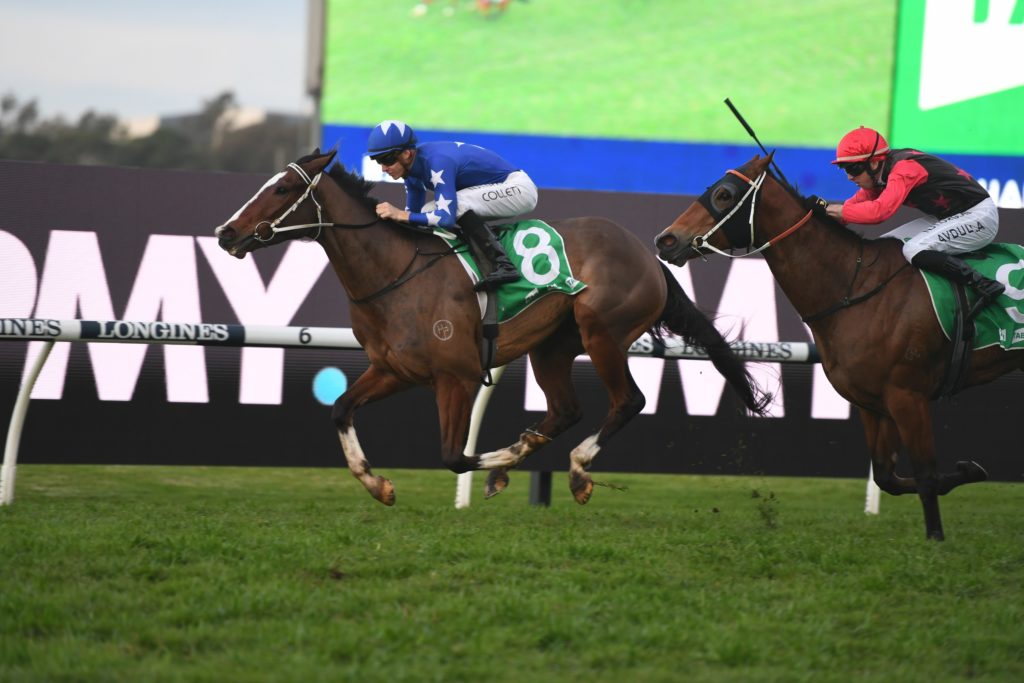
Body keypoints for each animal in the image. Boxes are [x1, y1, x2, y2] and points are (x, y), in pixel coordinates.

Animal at [213, 148, 771, 505]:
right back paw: (523, 461)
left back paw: (574, 470)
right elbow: (340, 409)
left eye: (283, 187)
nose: (226, 232)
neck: (395, 273)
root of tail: (649, 253)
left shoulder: (456, 376)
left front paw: (497, 462)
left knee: (627, 401)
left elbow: (455, 457)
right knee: (566, 410)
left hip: (602, 332)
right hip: (552, 347)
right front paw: (378, 485)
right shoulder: (393, 370)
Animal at [654, 152, 1019, 540]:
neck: (855, 285)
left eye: (724, 194)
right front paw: (969, 471)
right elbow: (887, 475)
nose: (666, 239)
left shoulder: (908, 396)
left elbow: (926, 474)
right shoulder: (873, 403)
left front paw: (936, 537)